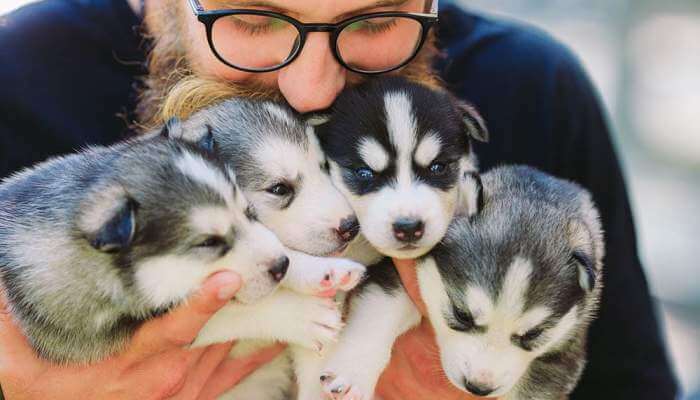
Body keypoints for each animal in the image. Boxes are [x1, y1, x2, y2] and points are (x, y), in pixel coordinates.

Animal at [322, 166, 600, 400]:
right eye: (462, 315)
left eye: (533, 334)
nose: (479, 387)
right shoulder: (398, 272)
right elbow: (381, 313)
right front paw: (353, 371)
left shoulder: (563, 355)